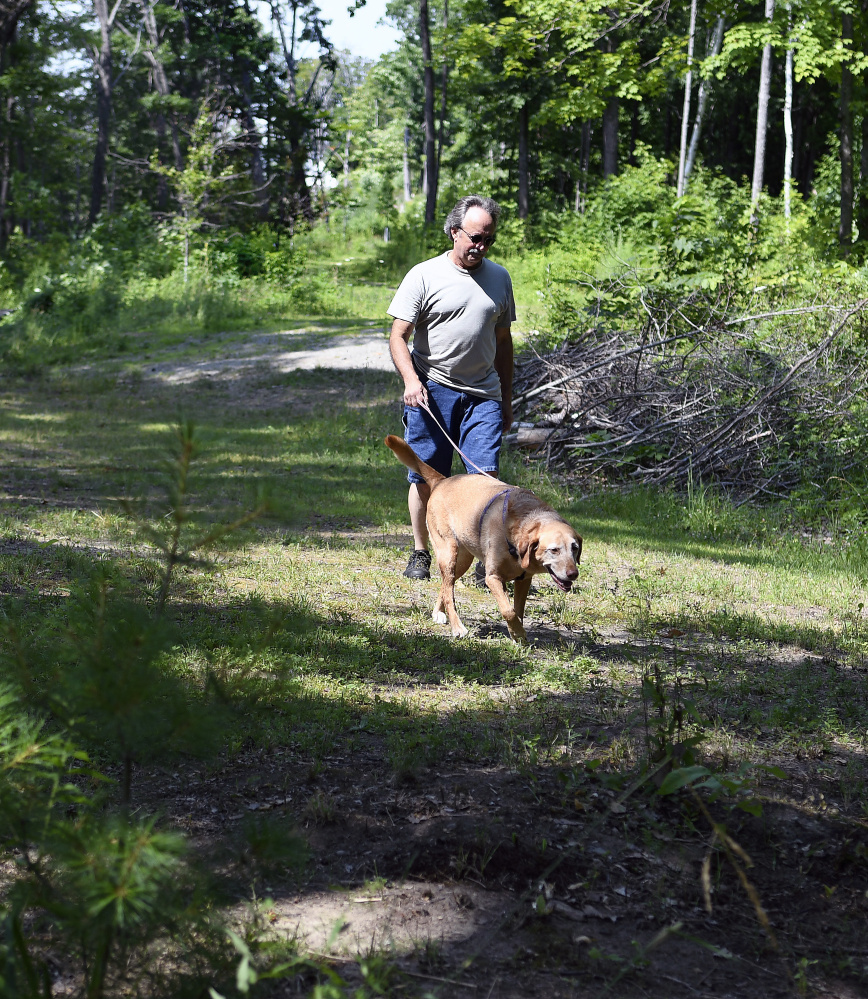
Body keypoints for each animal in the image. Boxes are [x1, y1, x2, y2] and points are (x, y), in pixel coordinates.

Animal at [386, 434, 584, 644]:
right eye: (554, 549)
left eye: (575, 548)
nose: (573, 574)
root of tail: (442, 481)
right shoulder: (493, 578)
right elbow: (508, 611)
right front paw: (518, 633)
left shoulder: (524, 580)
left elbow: (518, 612)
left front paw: (518, 635)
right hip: (448, 553)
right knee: (449, 592)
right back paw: (457, 628)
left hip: (462, 561)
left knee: (446, 586)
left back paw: (438, 613)